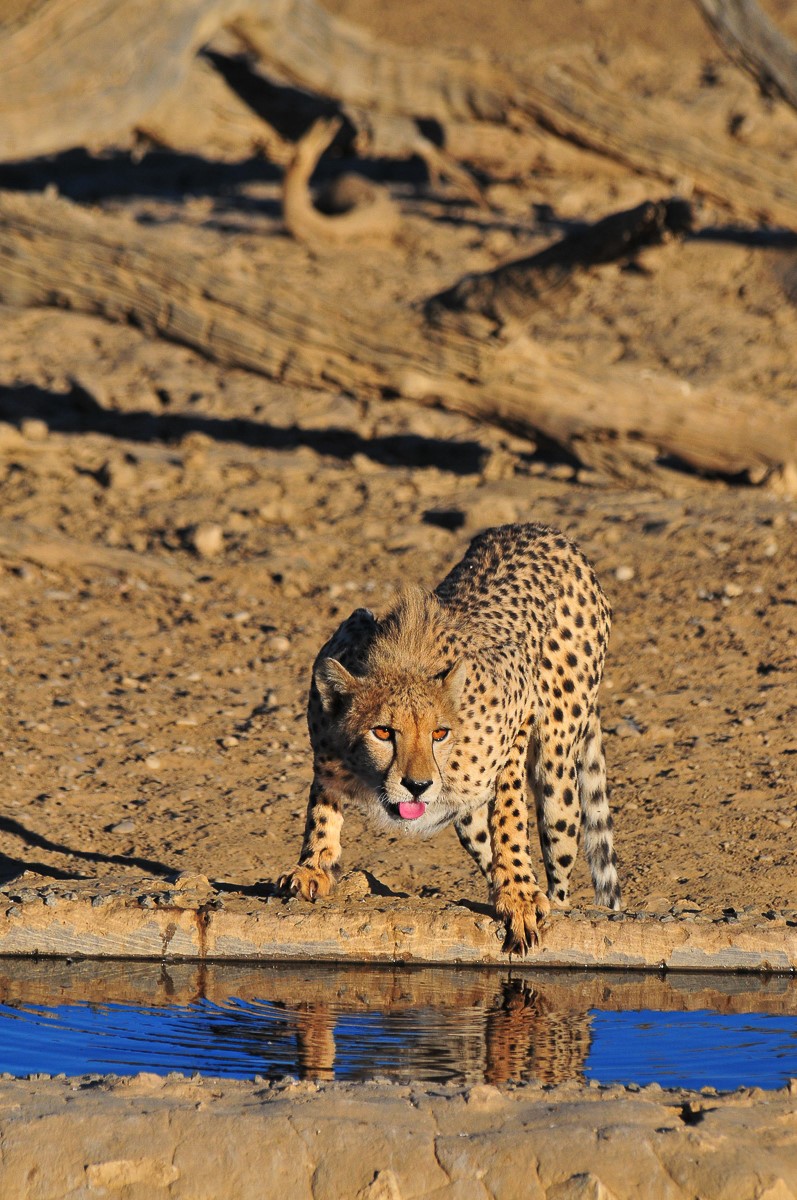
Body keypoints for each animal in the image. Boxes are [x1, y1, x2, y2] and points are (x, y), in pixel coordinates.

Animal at [279, 522, 620, 954]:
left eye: (439, 733)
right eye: (383, 731)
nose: (418, 785)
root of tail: (541, 530)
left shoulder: (519, 704)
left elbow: (510, 814)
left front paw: (520, 896)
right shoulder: (324, 727)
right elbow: (322, 804)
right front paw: (314, 866)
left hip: (557, 769)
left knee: (559, 858)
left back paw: (546, 897)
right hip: (468, 818)